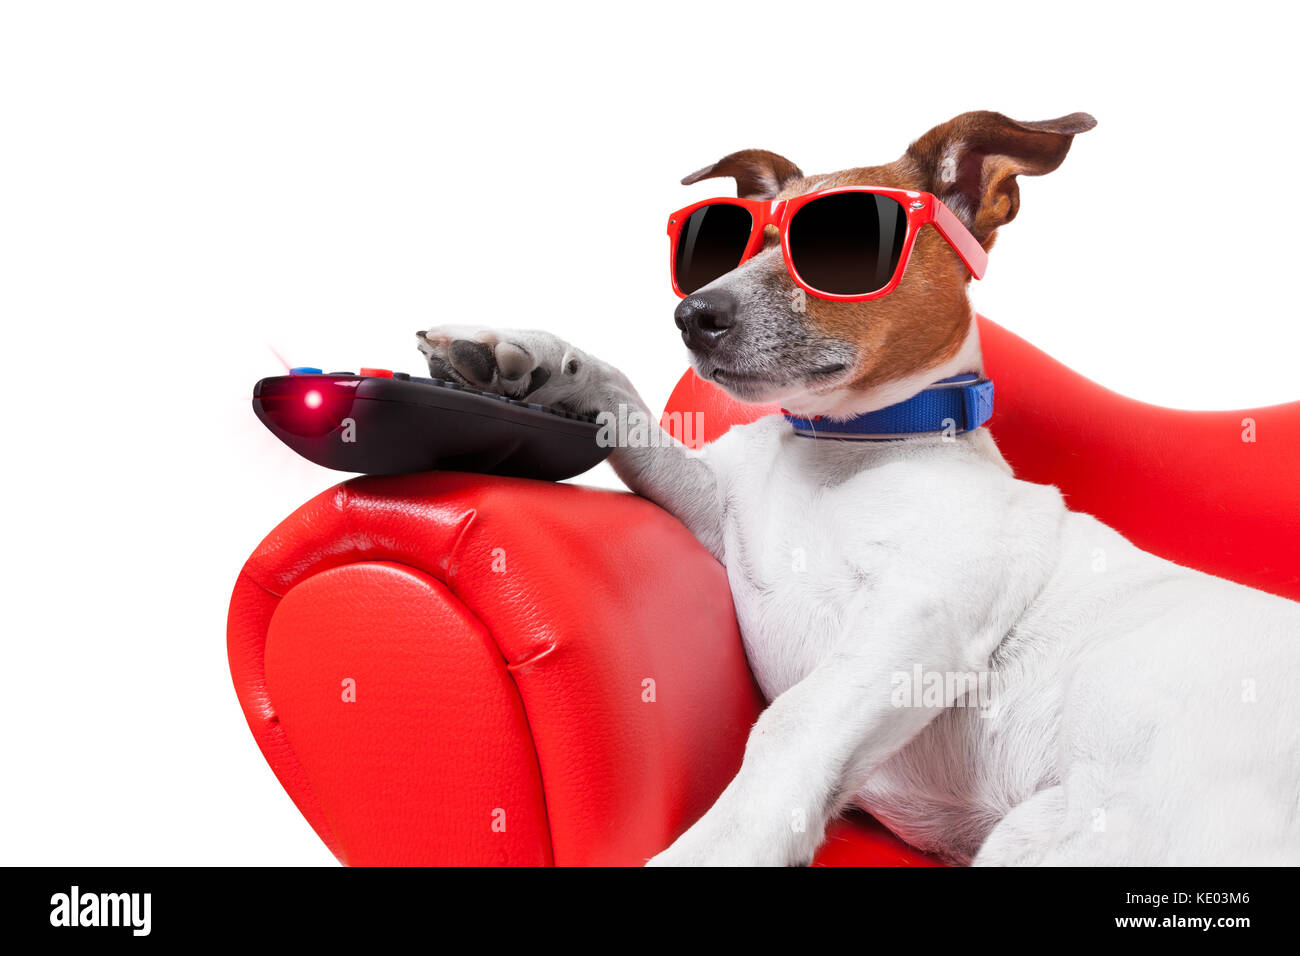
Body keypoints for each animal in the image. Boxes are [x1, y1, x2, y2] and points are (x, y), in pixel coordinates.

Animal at [416, 111, 1300, 868]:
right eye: (731, 244)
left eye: (840, 249)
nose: (694, 313)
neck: (847, 446)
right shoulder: (718, 506)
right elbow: (622, 402)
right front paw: (522, 357)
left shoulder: (919, 616)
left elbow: (789, 724)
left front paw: (719, 845)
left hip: (1075, 832)